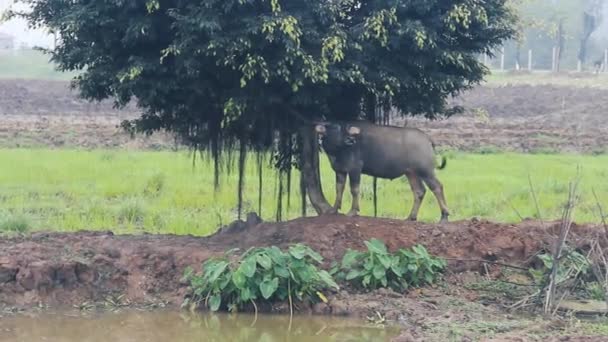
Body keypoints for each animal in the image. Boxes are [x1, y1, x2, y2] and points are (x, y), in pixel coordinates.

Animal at [316, 121, 448, 223]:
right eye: (334, 130)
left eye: (344, 130)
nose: (350, 140)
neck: (339, 152)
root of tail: (426, 138)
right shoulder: (340, 171)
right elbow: (339, 189)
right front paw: (334, 209)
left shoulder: (355, 170)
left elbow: (354, 190)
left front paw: (353, 211)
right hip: (411, 173)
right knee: (419, 191)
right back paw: (411, 217)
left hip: (426, 171)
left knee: (437, 187)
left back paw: (444, 216)